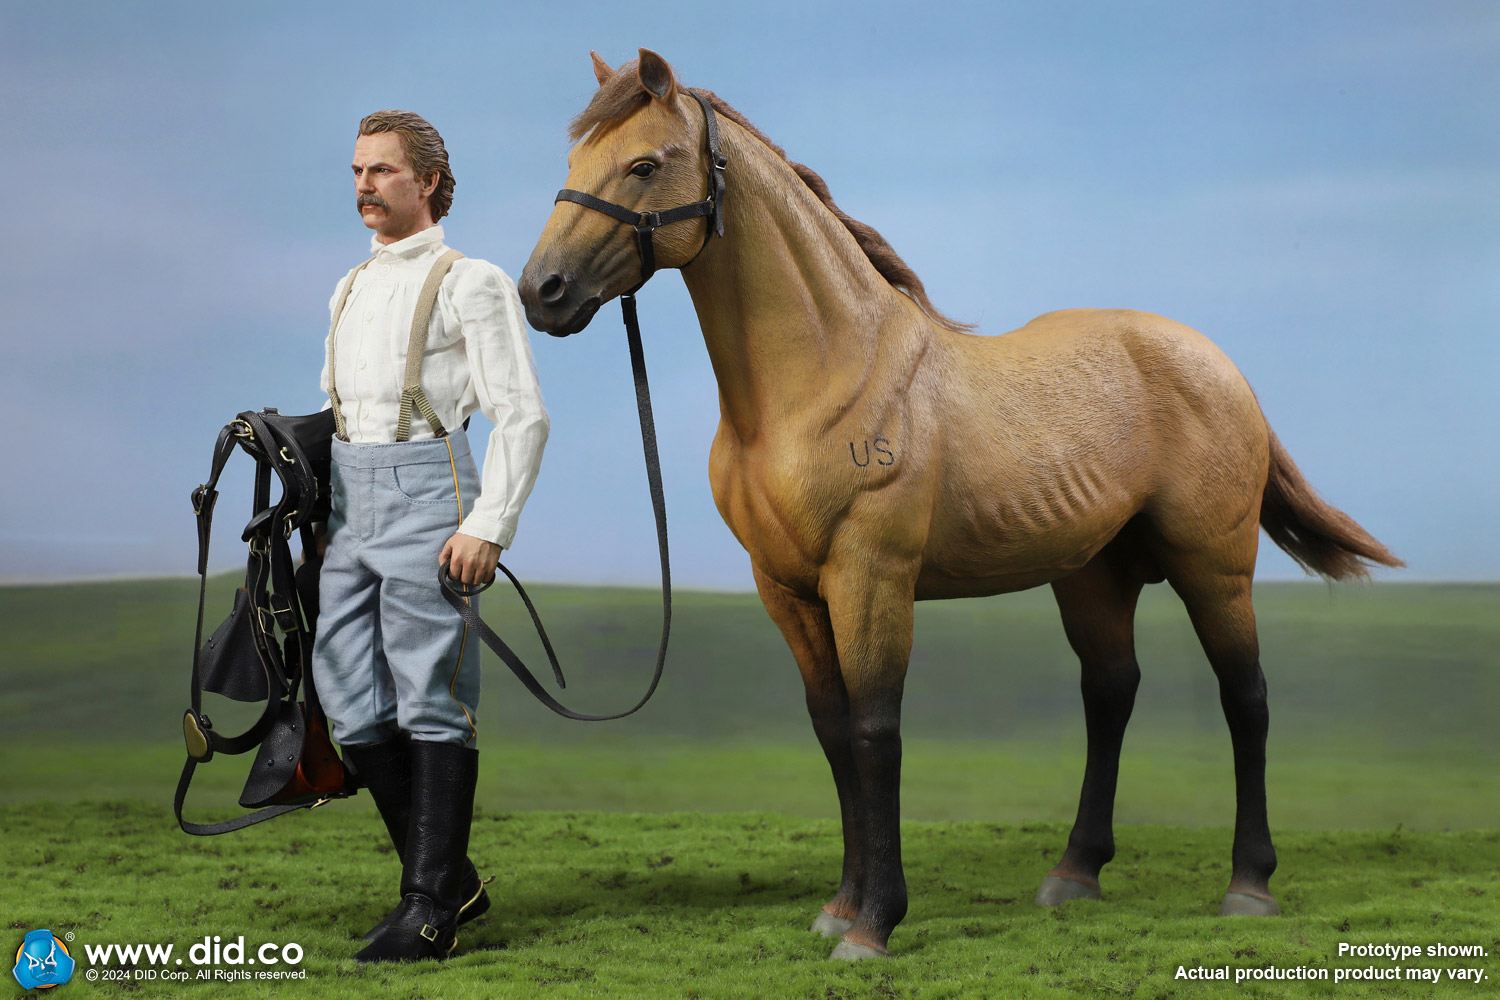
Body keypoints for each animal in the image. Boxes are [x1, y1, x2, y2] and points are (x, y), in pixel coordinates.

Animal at [518, 49, 1402, 960]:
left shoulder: (871, 581)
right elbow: (833, 732)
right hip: (1094, 575)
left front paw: (873, 925)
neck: (822, 381)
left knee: (1245, 696)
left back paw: (1247, 886)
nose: (541, 290)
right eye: (575, 161)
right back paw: (1073, 874)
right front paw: (839, 906)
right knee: (1110, 694)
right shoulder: (786, 590)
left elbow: (877, 734)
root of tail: (1222, 367)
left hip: (1214, 567)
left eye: (644, 164)